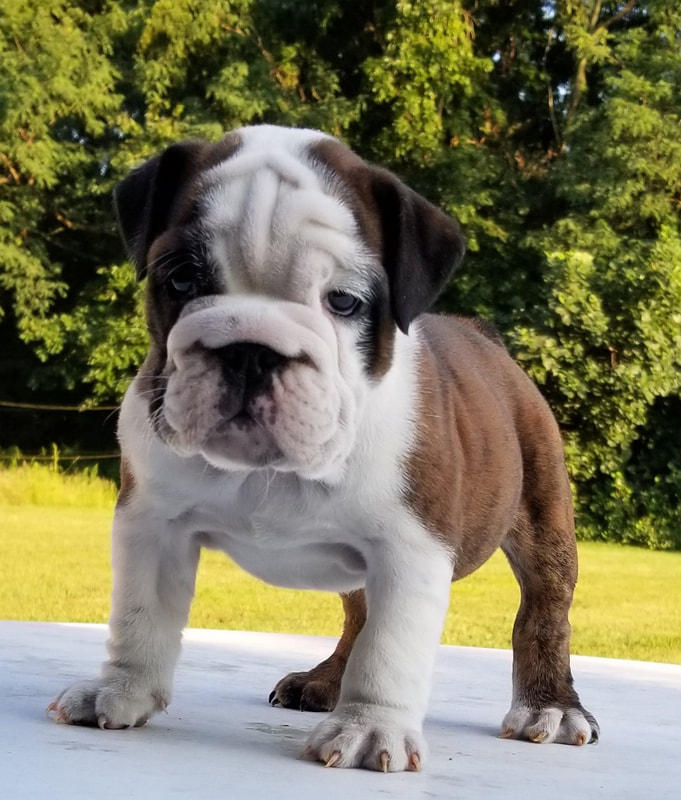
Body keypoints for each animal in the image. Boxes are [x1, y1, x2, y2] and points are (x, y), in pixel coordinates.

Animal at [47, 125, 596, 768]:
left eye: (344, 302)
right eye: (180, 279)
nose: (249, 350)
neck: (272, 470)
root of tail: (481, 335)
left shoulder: (411, 549)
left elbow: (389, 650)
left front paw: (371, 728)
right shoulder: (153, 523)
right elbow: (140, 616)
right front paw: (121, 690)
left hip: (543, 519)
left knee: (543, 611)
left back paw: (549, 707)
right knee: (358, 615)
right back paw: (326, 682)